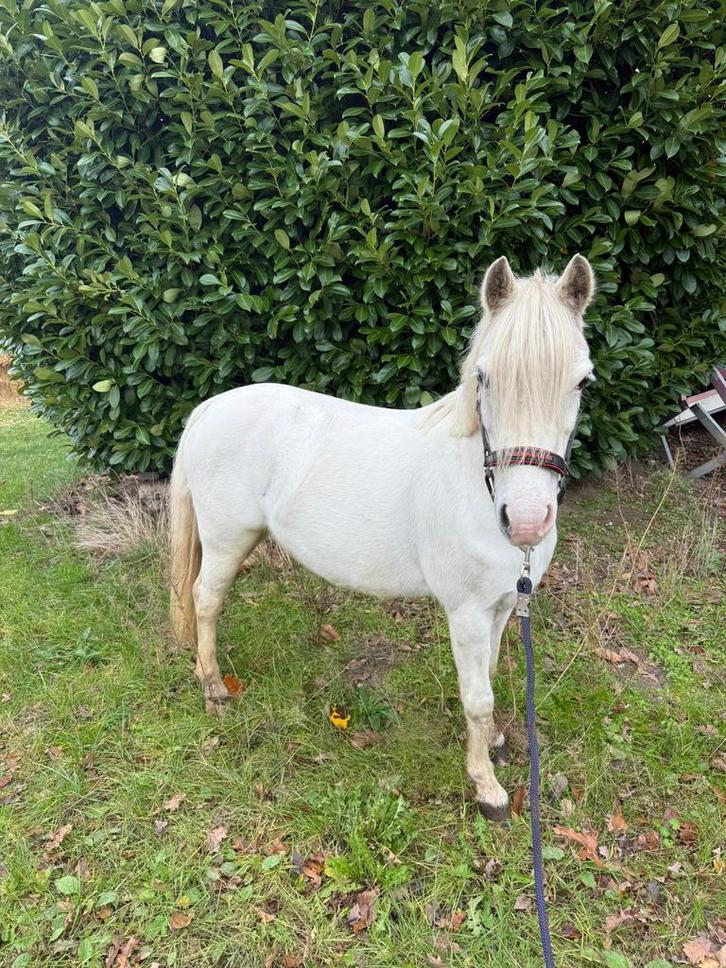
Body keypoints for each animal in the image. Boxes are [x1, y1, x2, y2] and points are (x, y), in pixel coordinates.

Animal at [168, 254, 595, 820]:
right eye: (483, 377)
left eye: (582, 382)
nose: (525, 520)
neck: (476, 488)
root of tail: (210, 408)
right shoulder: (466, 613)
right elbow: (477, 698)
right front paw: (487, 787)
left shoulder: (504, 605)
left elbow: (492, 675)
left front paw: (497, 744)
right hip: (225, 541)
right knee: (205, 601)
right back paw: (214, 689)